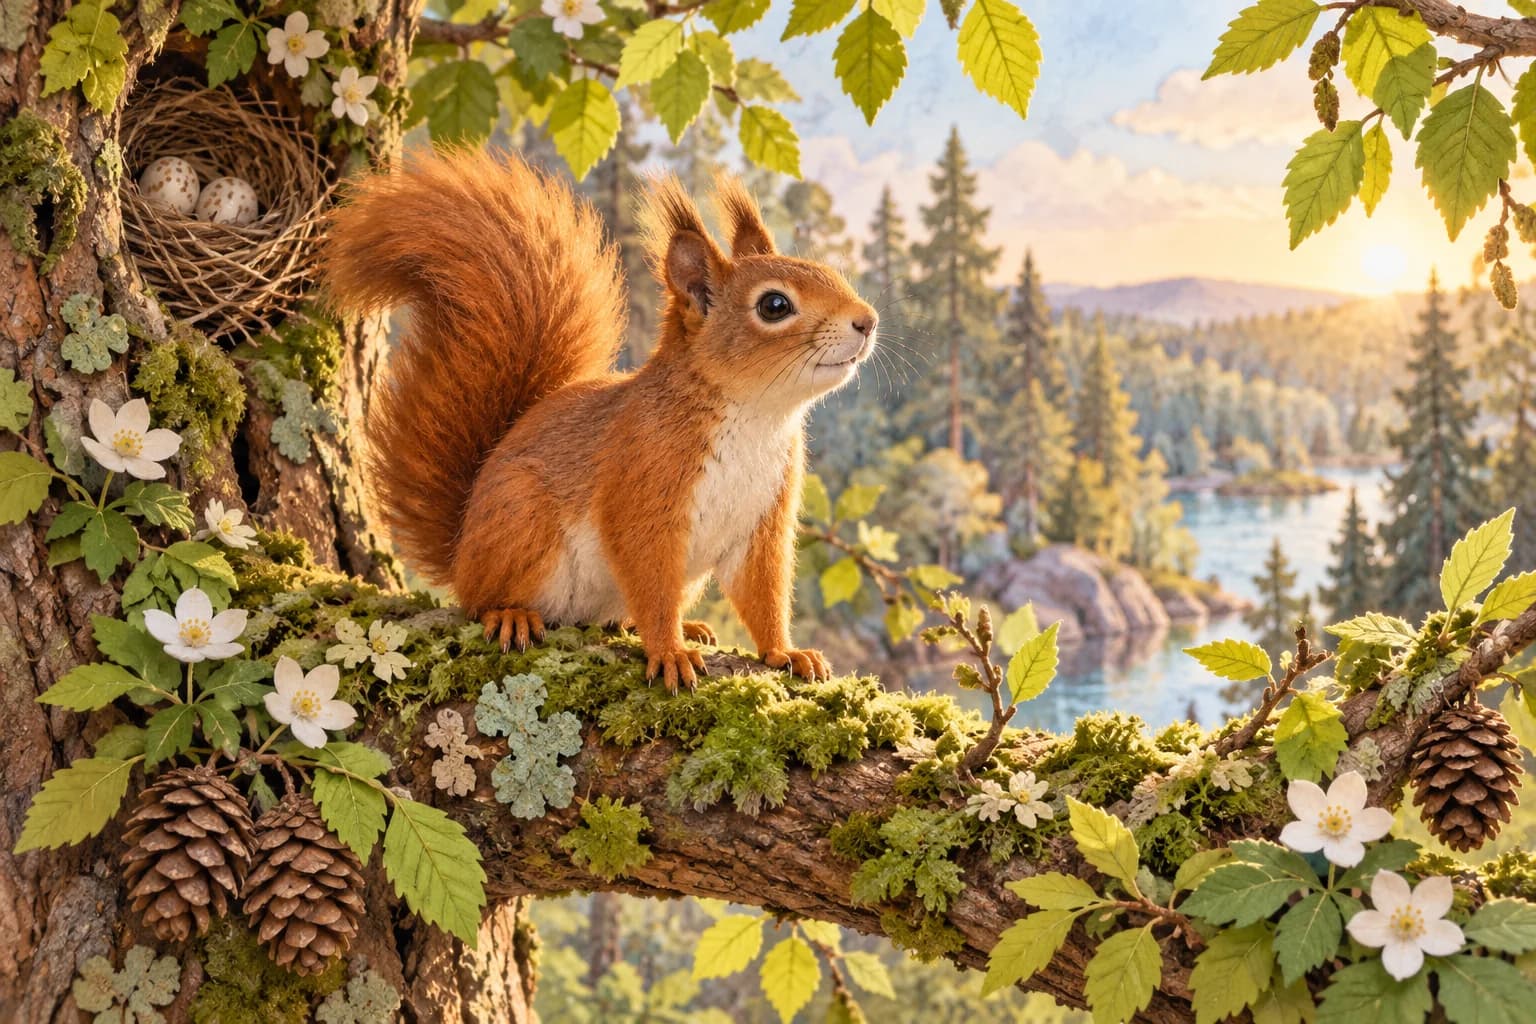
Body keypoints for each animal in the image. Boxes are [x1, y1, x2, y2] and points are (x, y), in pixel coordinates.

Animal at [322, 149, 878, 691]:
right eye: (774, 305)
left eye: (827, 271)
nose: (867, 320)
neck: (756, 418)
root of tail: (461, 552)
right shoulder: (642, 484)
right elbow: (650, 580)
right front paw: (670, 652)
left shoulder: (765, 519)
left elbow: (762, 593)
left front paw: (786, 652)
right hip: (521, 521)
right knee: (478, 599)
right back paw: (510, 614)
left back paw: (683, 624)